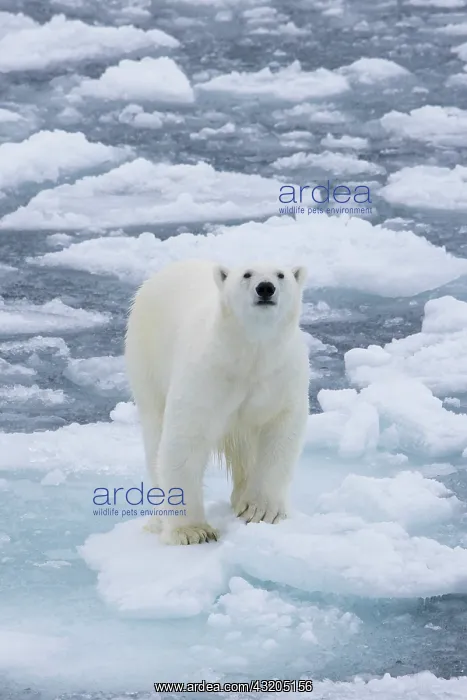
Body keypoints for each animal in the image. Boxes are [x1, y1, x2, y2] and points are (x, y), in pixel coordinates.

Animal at [124, 259, 310, 545]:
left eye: (281, 274)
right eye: (247, 274)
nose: (265, 288)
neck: (250, 354)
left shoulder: (280, 375)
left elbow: (279, 432)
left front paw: (260, 510)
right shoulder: (208, 374)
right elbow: (185, 439)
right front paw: (192, 531)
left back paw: (241, 499)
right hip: (148, 359)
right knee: (155, 433)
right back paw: (158, 520)